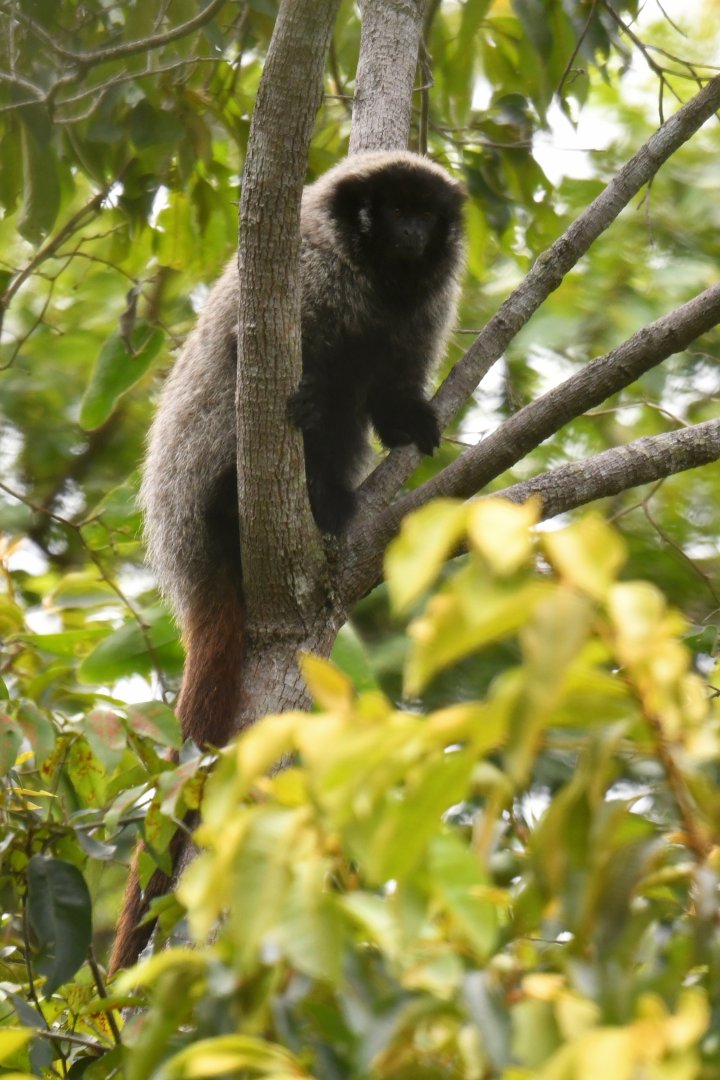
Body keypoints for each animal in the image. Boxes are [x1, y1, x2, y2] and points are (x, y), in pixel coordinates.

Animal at [108, 151, 466, 973]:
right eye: (393, 210)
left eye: (424, 215)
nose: (410, 231)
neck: (373, 277)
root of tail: (192, 568)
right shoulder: (307, 273)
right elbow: (261, 359)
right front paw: (306, 399)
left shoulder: (424, 312)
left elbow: (391, 388)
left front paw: (411, 419)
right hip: (201, 488)